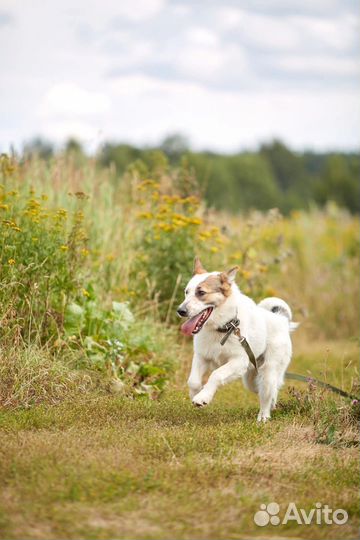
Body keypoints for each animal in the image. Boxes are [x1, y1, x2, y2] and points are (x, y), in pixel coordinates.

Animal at [177, 258, 298, 422]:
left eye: (201, 292)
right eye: (186, 292)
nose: (180, 311)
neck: (223, 328)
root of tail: (281, 320)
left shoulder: (238, 361)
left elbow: (216, 375)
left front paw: (203, 397)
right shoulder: (202, 357)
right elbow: (193, 381)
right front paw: (195, 394)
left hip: (268, 371)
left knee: (266, 394)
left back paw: (263, 417)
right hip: (251, 378)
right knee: (269, 391)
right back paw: (273, 404)